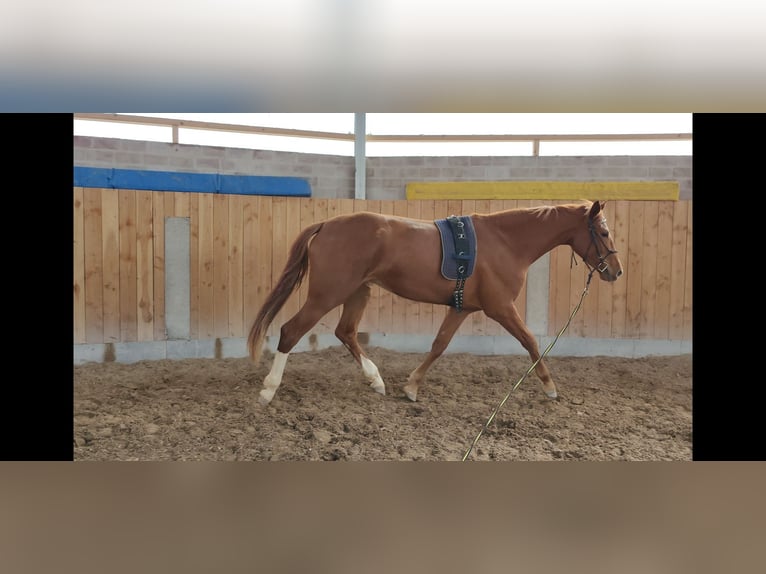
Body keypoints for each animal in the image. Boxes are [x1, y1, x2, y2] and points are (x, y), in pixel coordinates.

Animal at [247, 200, 623, 406]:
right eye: (604, 233)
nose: (616, 271)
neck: (506, 241)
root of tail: (326, 225)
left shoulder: (462, 308)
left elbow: (439, 345)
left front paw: (411, 387)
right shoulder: (500, 307)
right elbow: (530, 341)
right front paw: (550, 388)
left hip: (357, 292)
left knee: (346, 332)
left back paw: (376, 380)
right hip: (328, 293)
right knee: (291, 331)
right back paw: (268, 391)